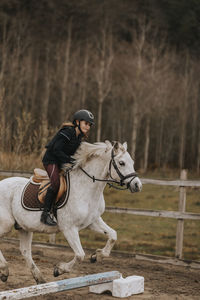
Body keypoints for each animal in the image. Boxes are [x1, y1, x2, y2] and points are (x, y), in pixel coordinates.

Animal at [0, 141, 142, 284]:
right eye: (121, 163)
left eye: (132, 162)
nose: (137, 185)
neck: (87, 189)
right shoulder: (69, 228)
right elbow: (80, 255)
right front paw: (59, 270)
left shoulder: (93, 221)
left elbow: (113, 235)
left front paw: (96, 256)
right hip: (7, 225)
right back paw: (5, 270)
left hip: (24, 227)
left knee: (25, 251)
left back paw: (39, 279)